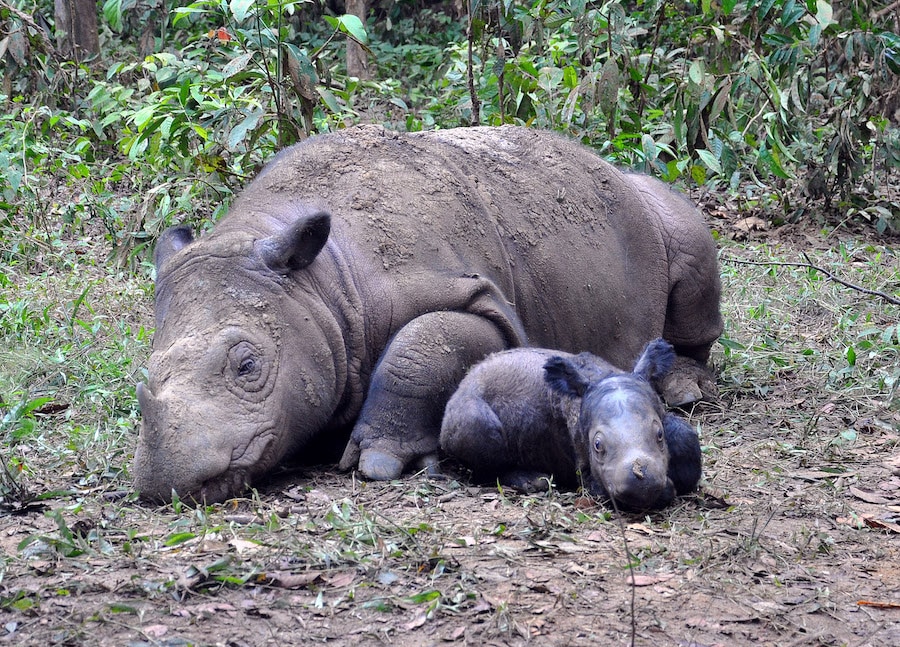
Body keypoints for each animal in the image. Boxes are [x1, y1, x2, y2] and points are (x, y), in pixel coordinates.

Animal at [440, 340, 700, 512]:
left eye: (659, 435)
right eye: (597, 445)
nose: (641, 485)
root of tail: (463, 383)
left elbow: (685, 438)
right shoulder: (587, 470)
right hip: (463, 411)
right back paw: (532, 480)